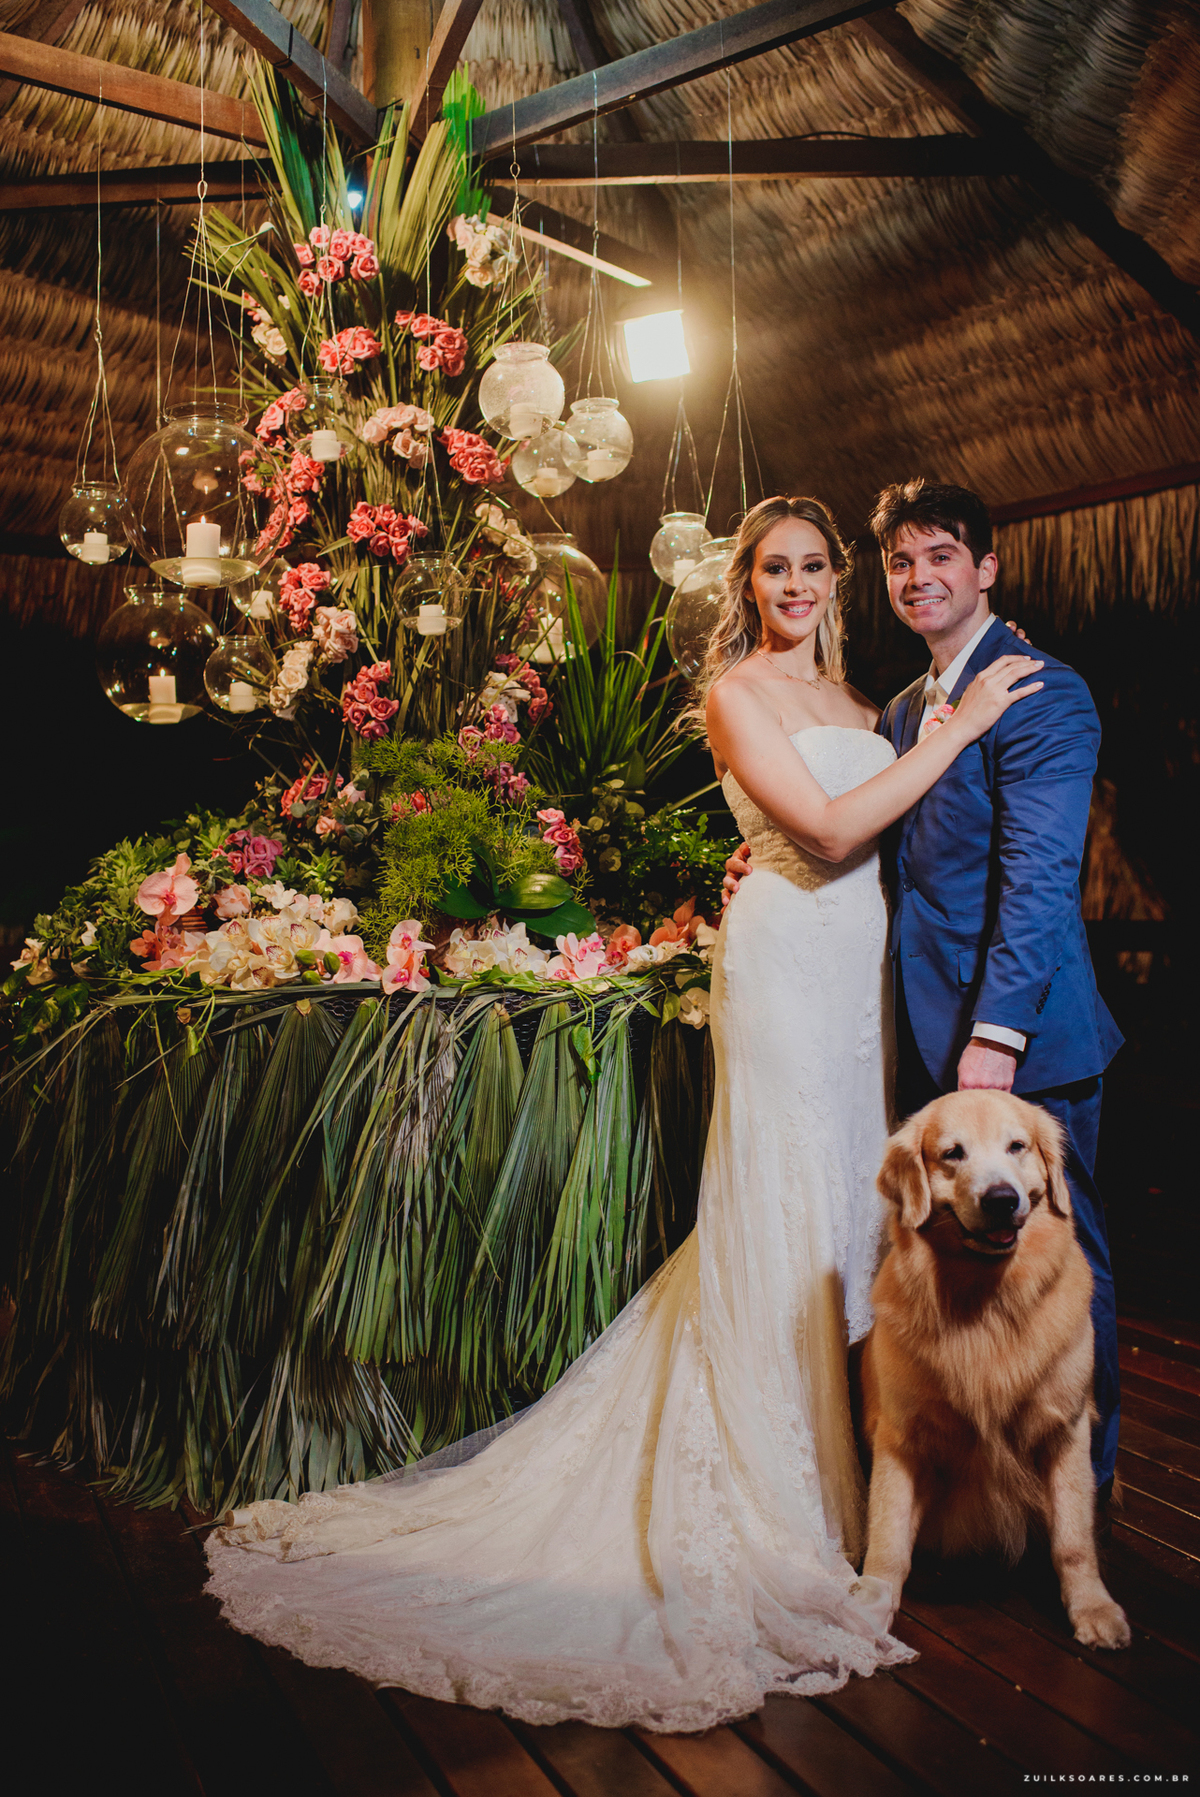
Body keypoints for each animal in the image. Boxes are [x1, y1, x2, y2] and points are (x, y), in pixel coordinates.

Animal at [860, 1090, 1130, 1650]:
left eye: (1017, 1146)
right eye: (952, 1154)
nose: (1002, 1199)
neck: (987, 1309)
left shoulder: (1065, 1428)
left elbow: (1073, 1538)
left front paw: (1093, 1607)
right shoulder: (900, 1436)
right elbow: (888, 1533)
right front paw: (870, 1603)